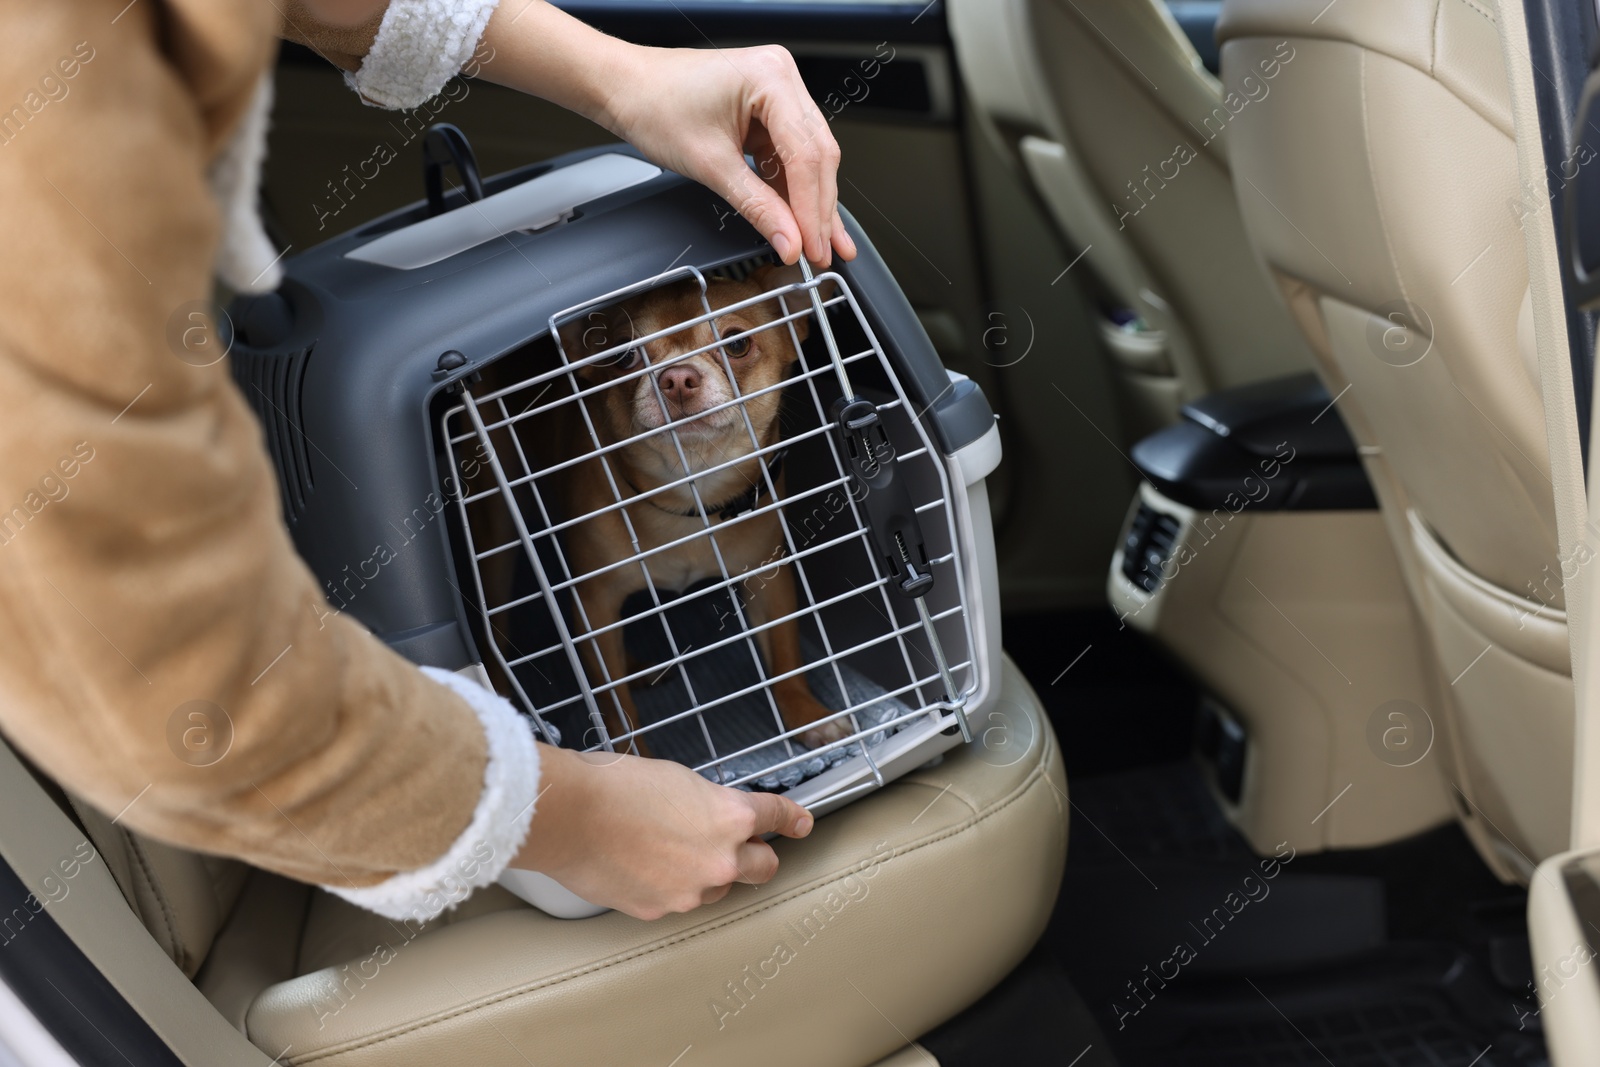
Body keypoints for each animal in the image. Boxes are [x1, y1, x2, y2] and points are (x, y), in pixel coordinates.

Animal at [553, 262, 851, 755]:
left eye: (737, 344)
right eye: (624, 357)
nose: (677, 377)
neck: (690, 492)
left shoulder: (768, 579)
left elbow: (785, 656)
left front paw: (809, 717)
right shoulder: (592, 606)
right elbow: (614, 705)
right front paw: (635, 758)